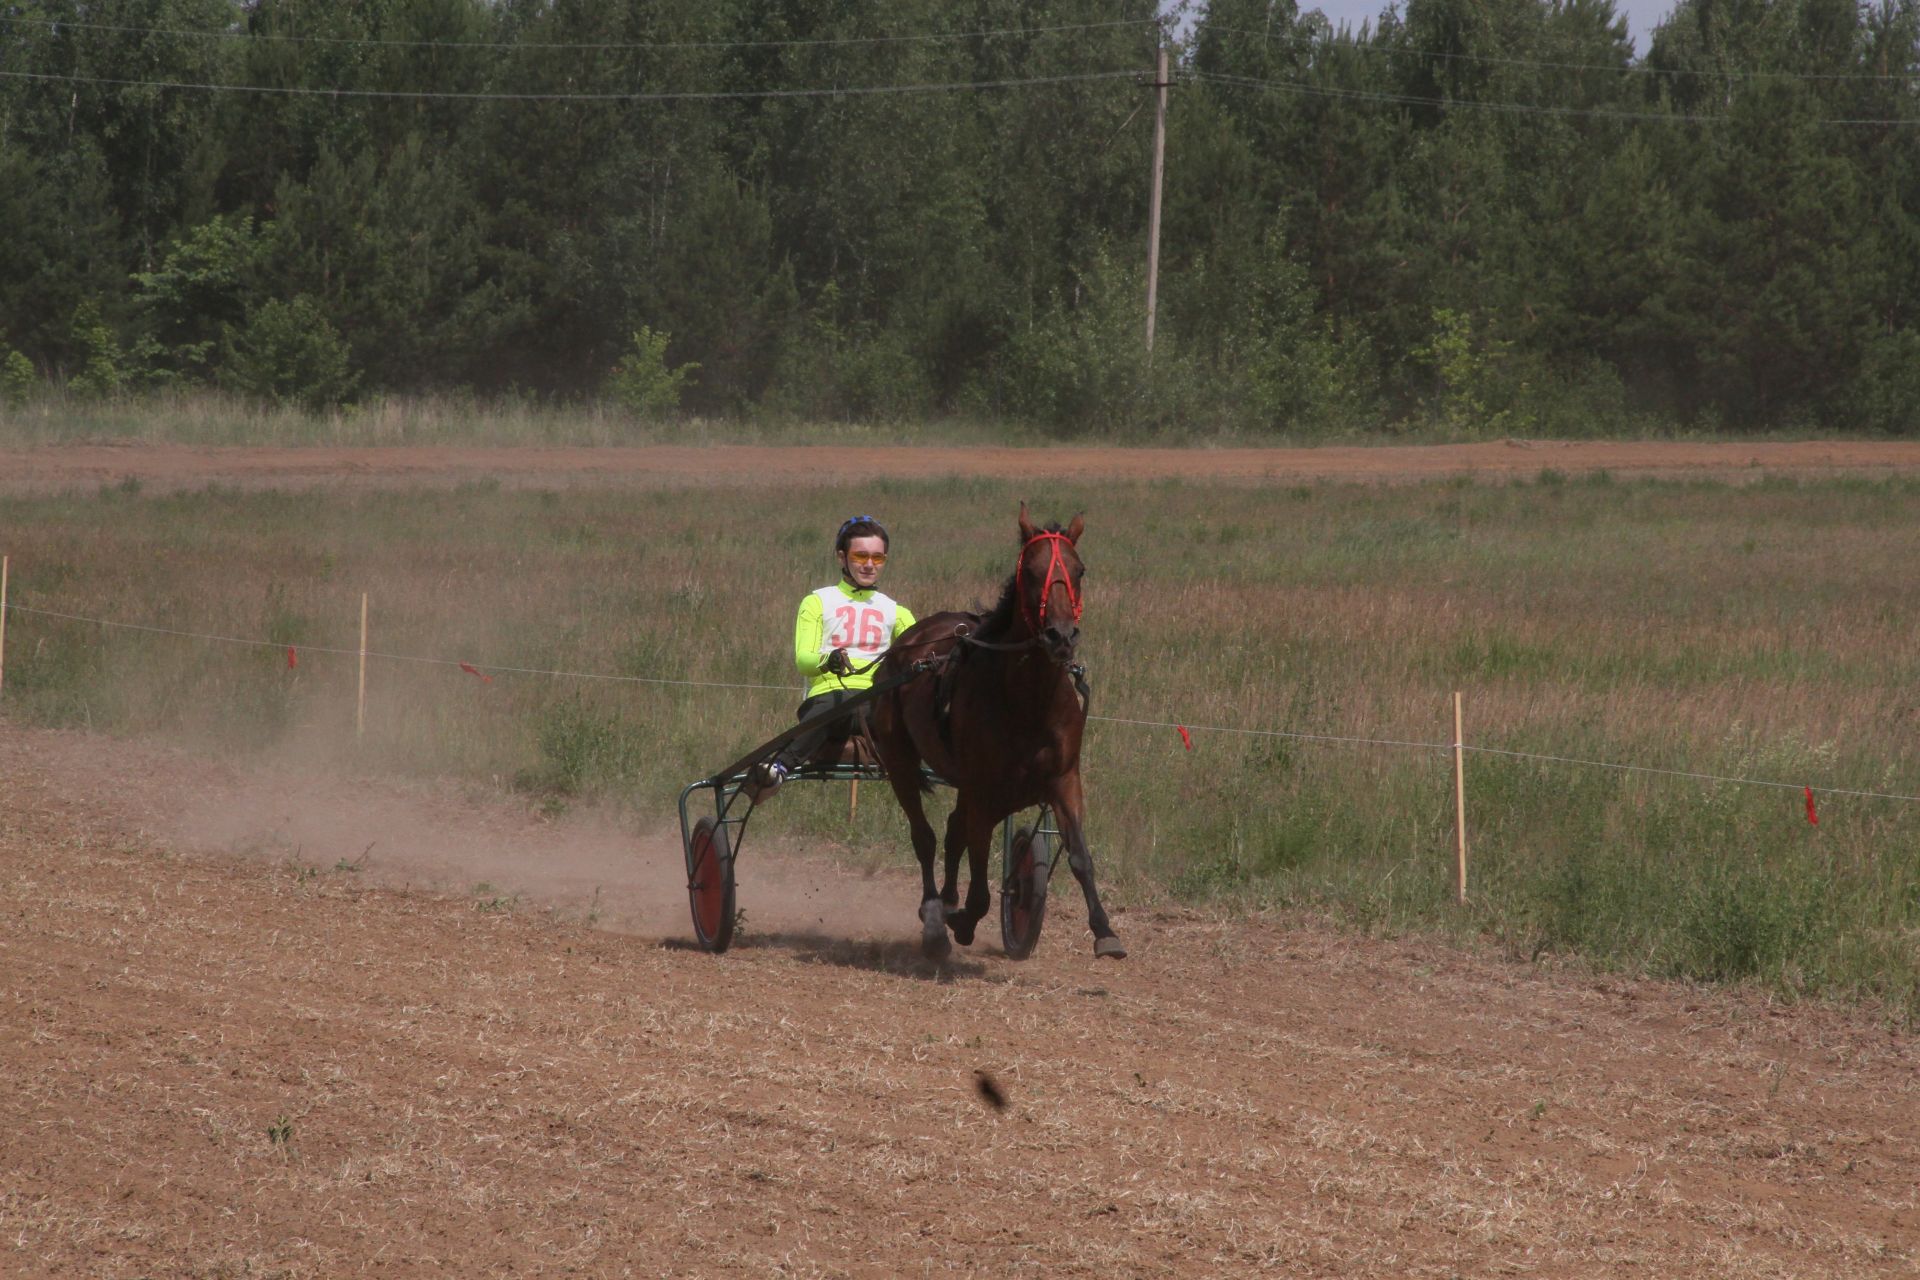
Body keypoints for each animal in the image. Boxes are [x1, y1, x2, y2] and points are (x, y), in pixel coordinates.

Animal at [871, 498, 1121, 959]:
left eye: (1079, 570)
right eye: (1031, 571)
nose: (1061, 636)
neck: (1027, 701)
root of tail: (907, 642)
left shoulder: (1064, 779)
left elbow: (1079, 856)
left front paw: (1104, 930)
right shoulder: (985, 793)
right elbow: (980, 885)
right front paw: (961, 920)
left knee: (952, 832)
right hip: (900, 762)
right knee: (925, 837)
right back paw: (934, 915)